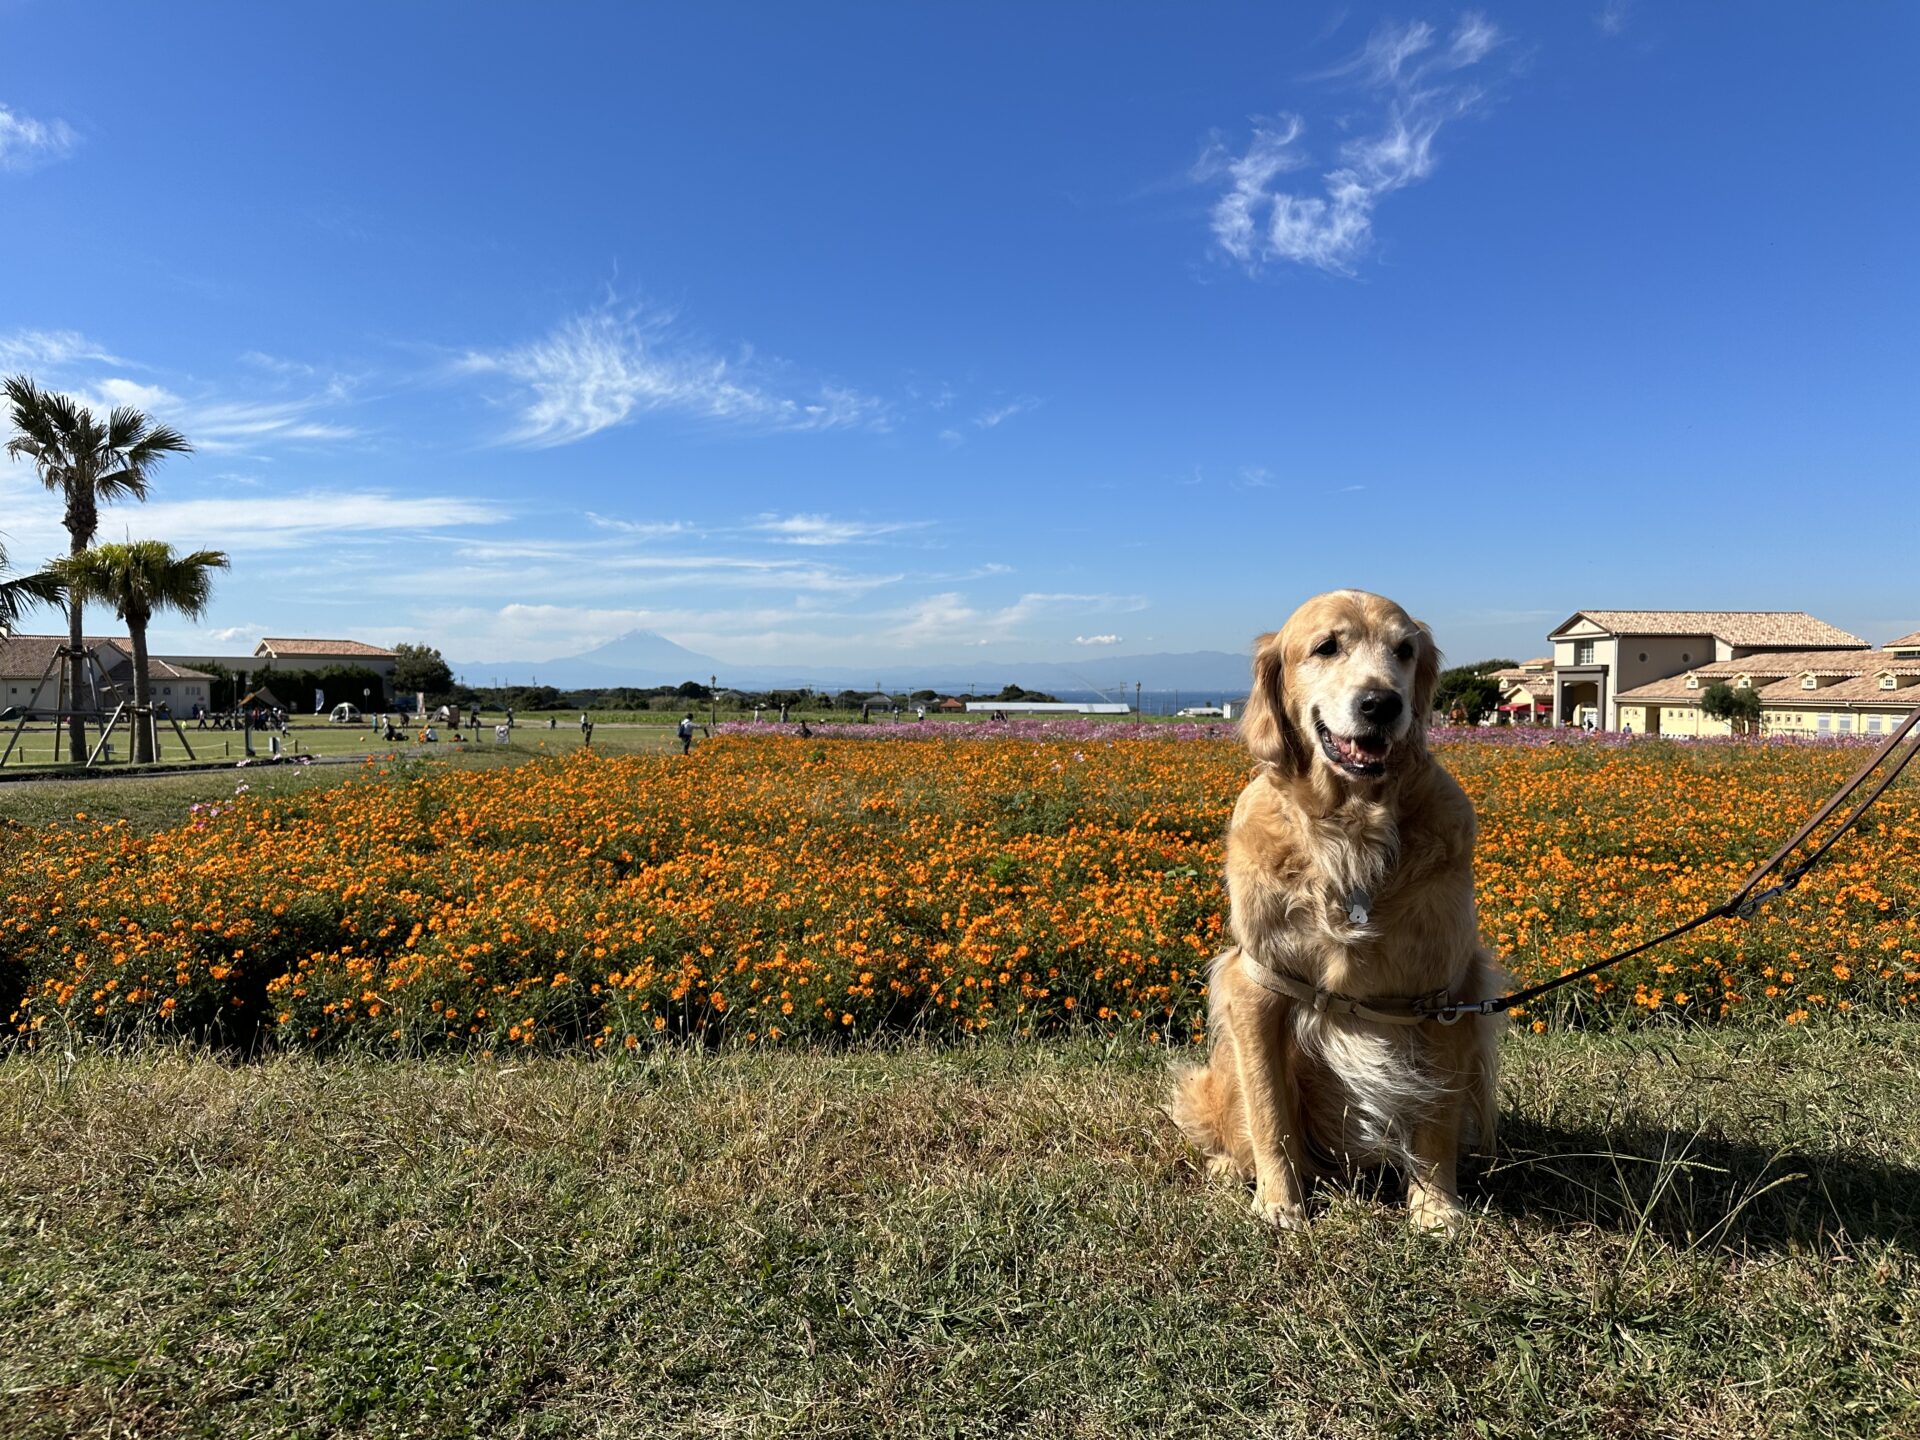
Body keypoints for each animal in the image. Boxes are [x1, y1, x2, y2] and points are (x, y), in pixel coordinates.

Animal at [1159, 591, 1505, 1236]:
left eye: (1404, 651)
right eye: (1326, 646)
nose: (1381, 703)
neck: (1349, 831)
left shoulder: (1446, 995)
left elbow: (1435, 1119)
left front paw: (1436, 1209)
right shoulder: (1257, 984)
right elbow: (1269, 1111)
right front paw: (1280, 1203)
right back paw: (1230, 1168)